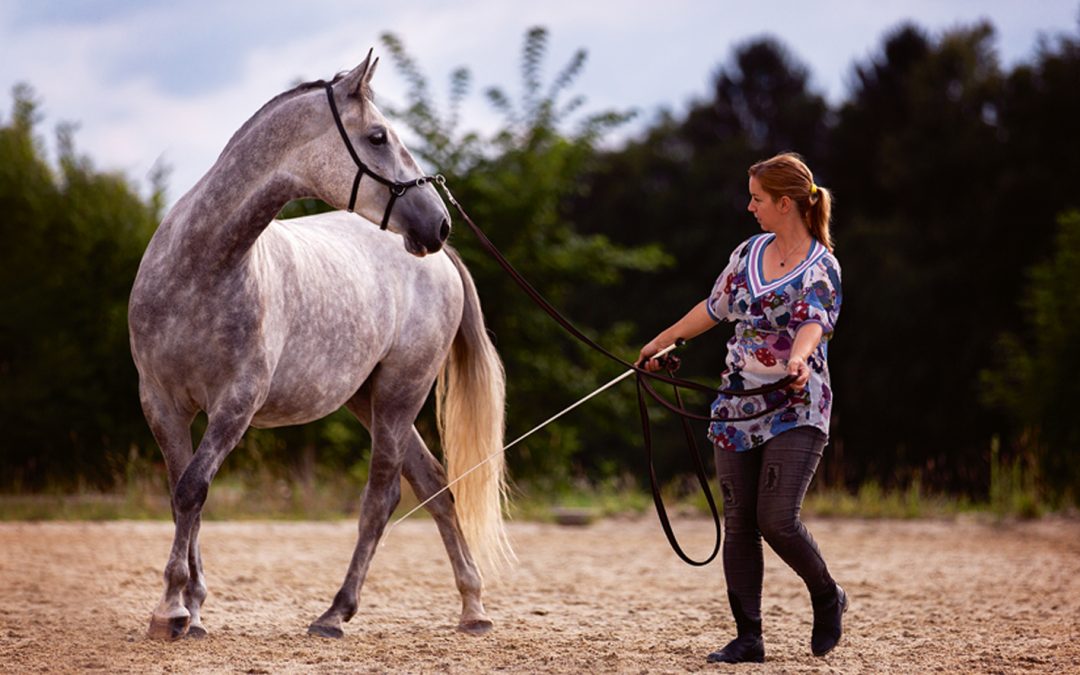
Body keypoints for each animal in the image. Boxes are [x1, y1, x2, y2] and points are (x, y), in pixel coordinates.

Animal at [128, 55, 511, 639]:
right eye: (378, 136)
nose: (439, 222)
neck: (201, 270)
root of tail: (443, 262)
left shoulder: (236, 404)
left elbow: (193, 487)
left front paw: (171, 608)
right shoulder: (161, 403)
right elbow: (182, 494)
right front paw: (190, 608)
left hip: (401, 393)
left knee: (383, 496)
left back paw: (336, 613)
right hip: (367, 399)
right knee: (435, 484)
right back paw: (472, 607)